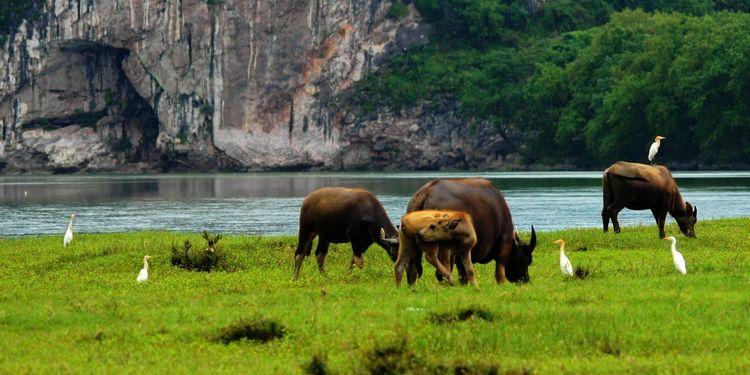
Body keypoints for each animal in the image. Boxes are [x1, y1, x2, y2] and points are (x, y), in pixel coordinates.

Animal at [402, 179, 536, 284]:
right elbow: (499, 273)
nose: (525, 280)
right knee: (439, 271)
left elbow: (464, 275)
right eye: (526, 260)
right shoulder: (503, 245)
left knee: (411, 269)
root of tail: (425, 192)